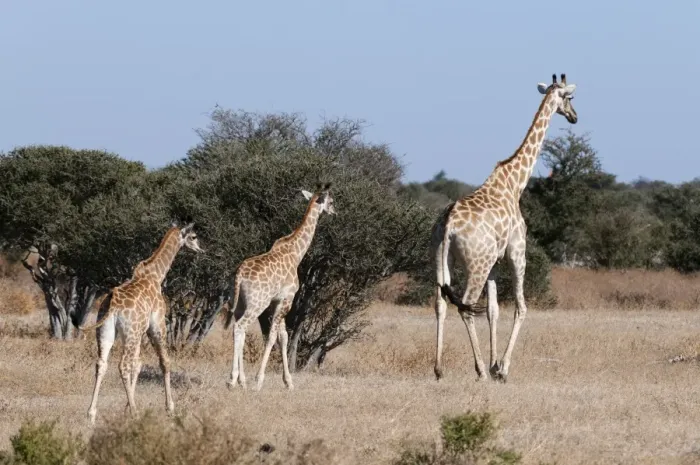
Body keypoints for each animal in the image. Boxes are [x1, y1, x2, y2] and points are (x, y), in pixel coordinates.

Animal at [82, 222, 204, 425]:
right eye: (193, 236)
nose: (200, 249)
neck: (156, 275)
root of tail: (113, 303)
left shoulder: (140, 332)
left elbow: (137, 364)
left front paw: (127, 405)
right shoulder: (157, 325)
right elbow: (164, 362)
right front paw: (169, 407)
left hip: (107, 332)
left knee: (102, 364)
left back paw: (91, 414)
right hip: (131, 333)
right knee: (122, 365)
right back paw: (135, 412)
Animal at [223, 183, 335, 392]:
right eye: (331, 201)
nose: (334, 210)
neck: (296, 252)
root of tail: (239, 275)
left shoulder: (277, 301)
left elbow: (283, 337)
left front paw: (288, 381)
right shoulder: (287, 299)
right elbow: (273, 336)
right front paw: (259, 380)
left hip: (240, 303)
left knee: (239, 331)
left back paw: (241, 380)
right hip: (257, 304)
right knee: (240, 327)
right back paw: (233, 380)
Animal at [433, 74, 578, 383]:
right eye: (570, 98)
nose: (574, 117)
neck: (515, 183)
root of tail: (447, 224)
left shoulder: (495, 263)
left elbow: (493, 310)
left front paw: (494, 362)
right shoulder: (516, 252)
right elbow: (521, 307)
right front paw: (501, 368)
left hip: (440, 257)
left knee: (441, 303)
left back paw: (438, 369)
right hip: (476, 263)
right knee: (465, 306)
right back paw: (479, 372)